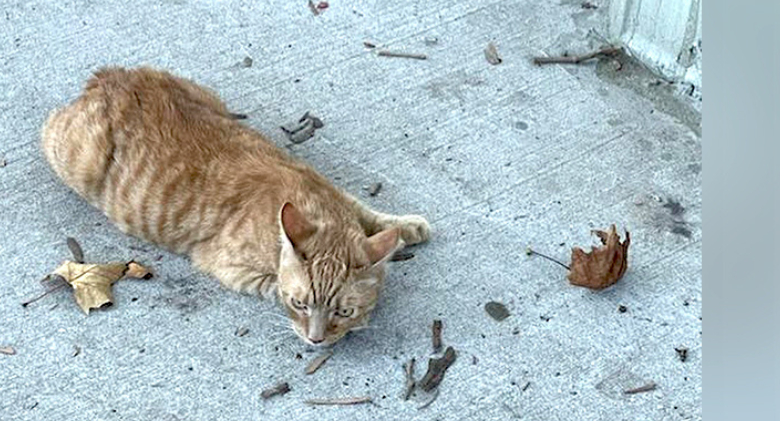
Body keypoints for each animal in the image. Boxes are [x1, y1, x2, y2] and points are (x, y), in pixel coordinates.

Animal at [41, 67, 432, 344]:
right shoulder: (228, 267)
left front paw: (405, 227)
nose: (316, 340)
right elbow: (272, 285)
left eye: (343, 310)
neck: (311, 202)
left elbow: (368, 212)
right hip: (74, 156)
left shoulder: (338, 195)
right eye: (300, 304)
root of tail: (108, 77)